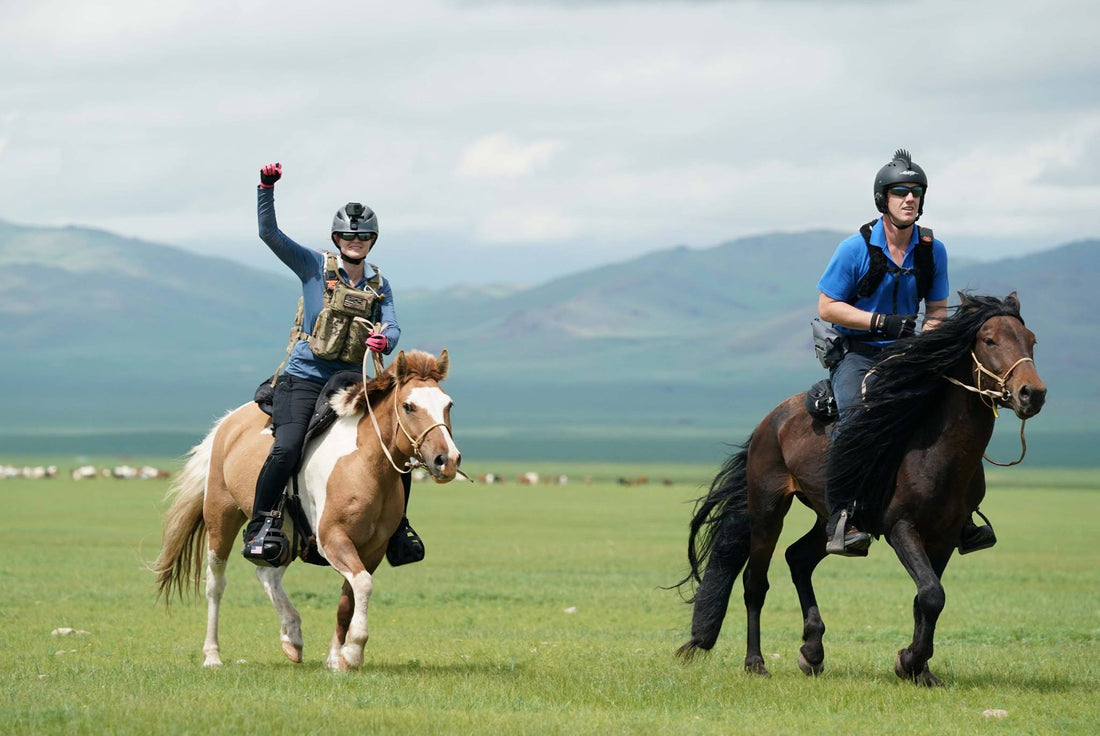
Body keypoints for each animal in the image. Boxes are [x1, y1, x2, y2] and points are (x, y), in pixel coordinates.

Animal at [152, 352, 462, 673]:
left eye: (448, 404)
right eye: (409, 406)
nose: (447, 460)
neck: (365, 462)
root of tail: (227, 423)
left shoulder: (372, 548)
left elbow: (349, 599)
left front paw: (336, 659)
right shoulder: (333, 538)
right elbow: (363, 584)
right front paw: (354, 651)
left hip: (285, 536)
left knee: (268, 573)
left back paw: (292, 636)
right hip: (221, 517)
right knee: (216, 584)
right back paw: (212, 655)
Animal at [673, 290, 1042, 682]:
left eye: (1031, 340)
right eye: (989, 340)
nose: (1032, 393)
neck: (936, 449)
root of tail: (771, 421)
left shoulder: (944, 535)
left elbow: (926, 599)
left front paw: (919, 669)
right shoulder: (900, 527)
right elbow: (931, 594)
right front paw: (910, 661)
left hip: (830, 518)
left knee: (798, 558)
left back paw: (812, 651)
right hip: (767, 511)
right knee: (755, 583)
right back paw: (756, 662)